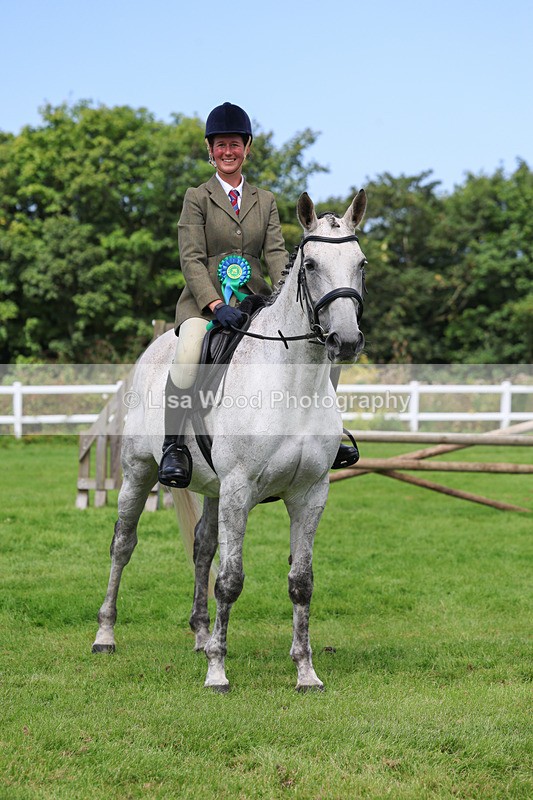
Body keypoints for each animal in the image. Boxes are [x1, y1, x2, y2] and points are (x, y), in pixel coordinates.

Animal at [92, 190, 368, 691]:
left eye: (361, 263)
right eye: (311, 264)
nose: (346, 340)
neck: (292, 384)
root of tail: (153, 348)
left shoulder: (310, 494)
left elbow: (301, 581)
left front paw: (306, 672)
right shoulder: (240, 488)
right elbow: (231, 579)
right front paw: (218, 672)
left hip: (214, 489)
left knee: (202, 547)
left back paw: (201, 637)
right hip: (139, 472)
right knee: (123, 543)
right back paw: (106, 635)